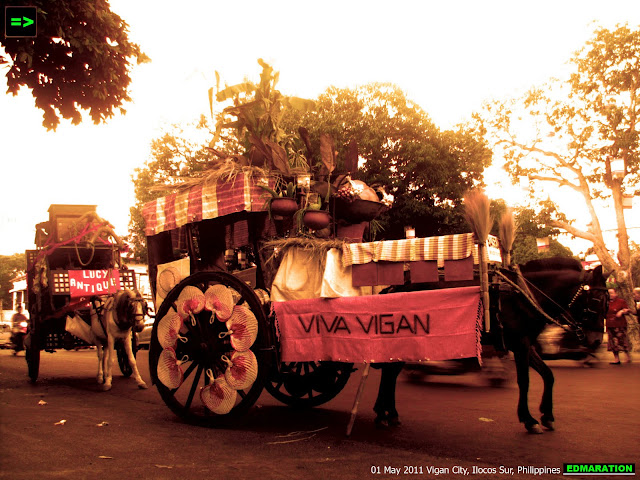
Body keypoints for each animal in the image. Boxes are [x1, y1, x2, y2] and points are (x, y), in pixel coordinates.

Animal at [372, 256, 608, 434]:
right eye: (597, 300)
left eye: (607, 302)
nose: (597, 340)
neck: (526, 295)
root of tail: (395, 287)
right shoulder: (520, 345)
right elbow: (525, 382)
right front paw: (529, 419)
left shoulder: (525, 344)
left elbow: (548, 375)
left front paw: (547, 415)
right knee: (391, 372)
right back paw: (385, 413)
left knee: (391, 372)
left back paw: (387, 413)